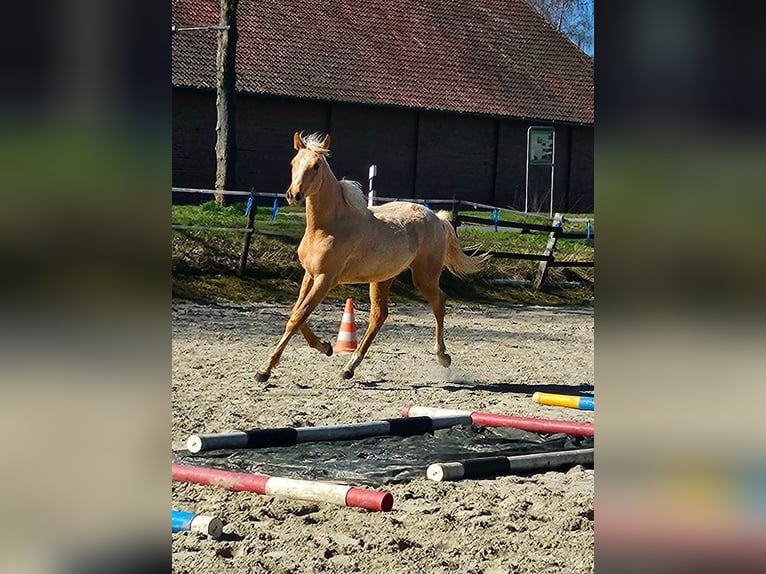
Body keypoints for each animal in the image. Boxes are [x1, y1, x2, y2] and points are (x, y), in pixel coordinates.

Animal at [255, 132, 488, 382]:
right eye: (293, 163)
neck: (328, 227)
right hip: (382, 279)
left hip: (424, 277)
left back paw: (443, 357)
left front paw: (264, 371)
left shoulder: (325, 279)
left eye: (316, 166)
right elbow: (297, 314)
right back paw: (349, 367)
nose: (293, 195)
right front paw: (326, 347)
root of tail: (437, 218)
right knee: (379, 315)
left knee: (439, 303)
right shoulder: (310, 275)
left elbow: (297, 317)